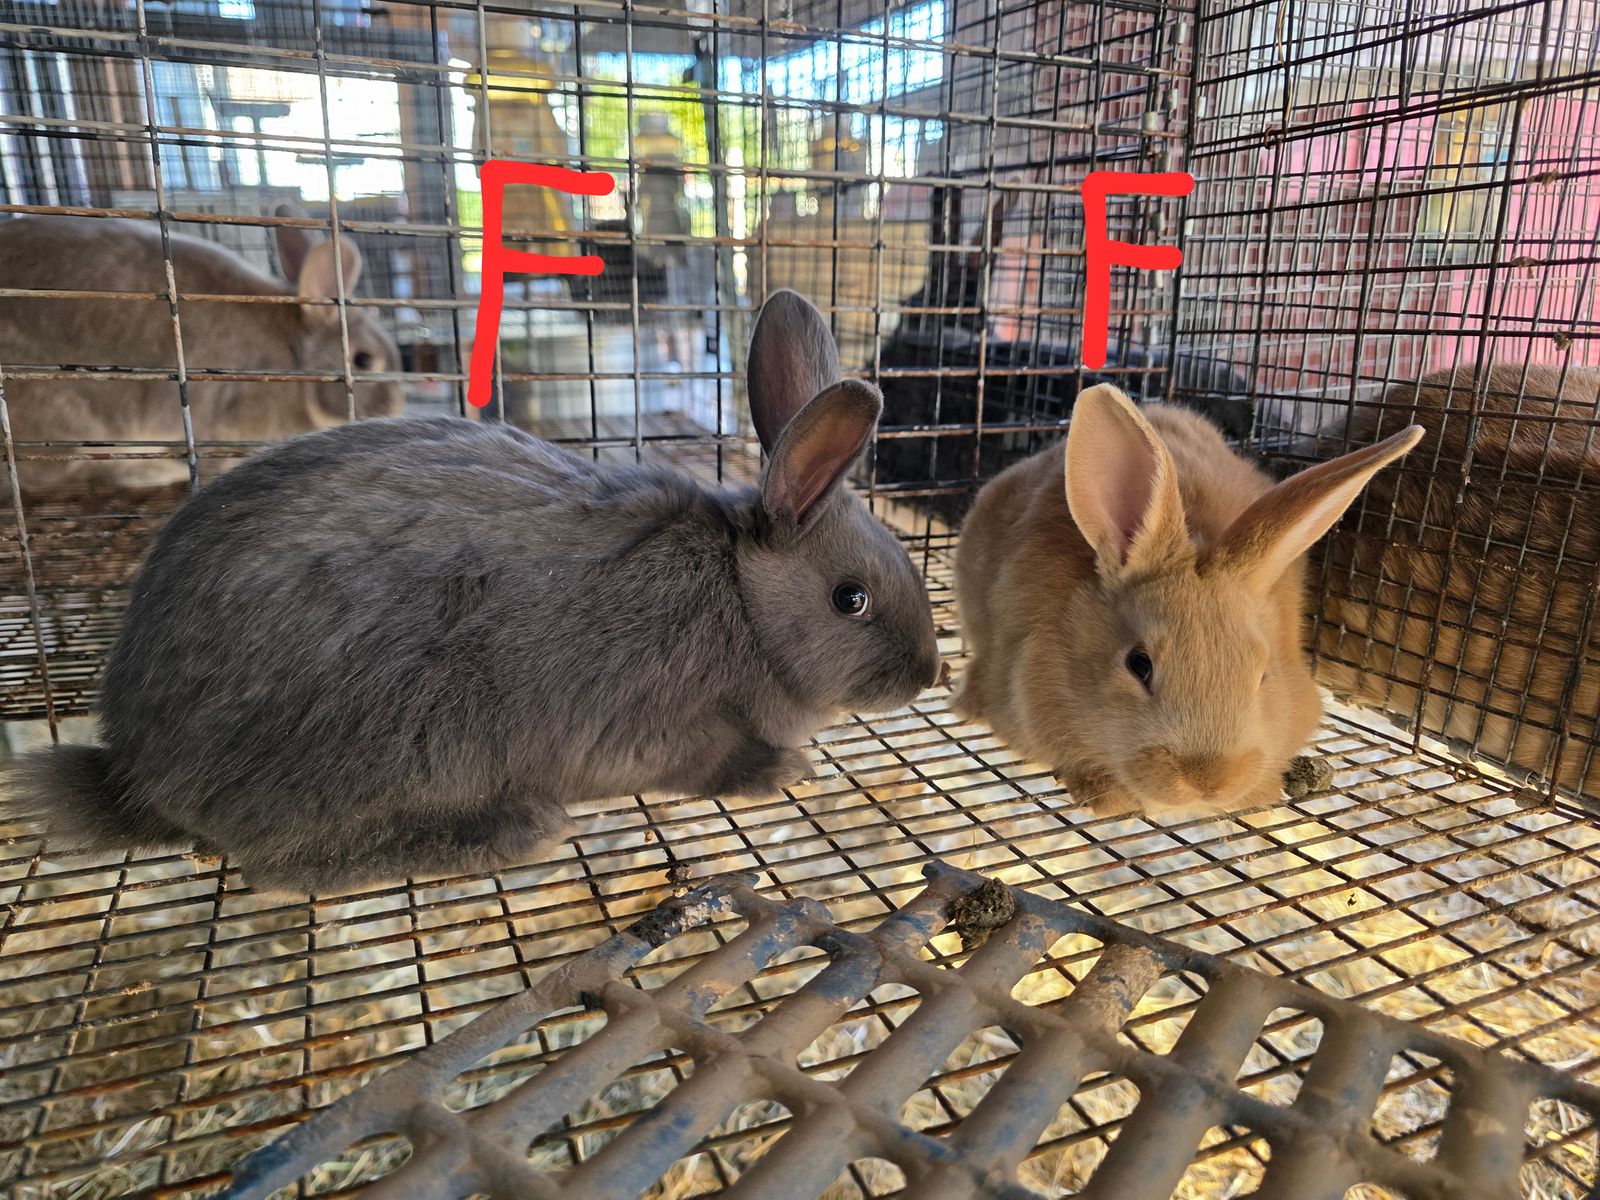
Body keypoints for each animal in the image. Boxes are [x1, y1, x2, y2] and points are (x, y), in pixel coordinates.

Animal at [5, 289, 941, 892]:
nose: (928, 675)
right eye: (850, 600)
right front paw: (782, 769)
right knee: (280, 867)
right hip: (412, 732)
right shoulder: (664, 728)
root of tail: (135, 769)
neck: (743, 598)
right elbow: (709, 761)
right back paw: (515, 831)